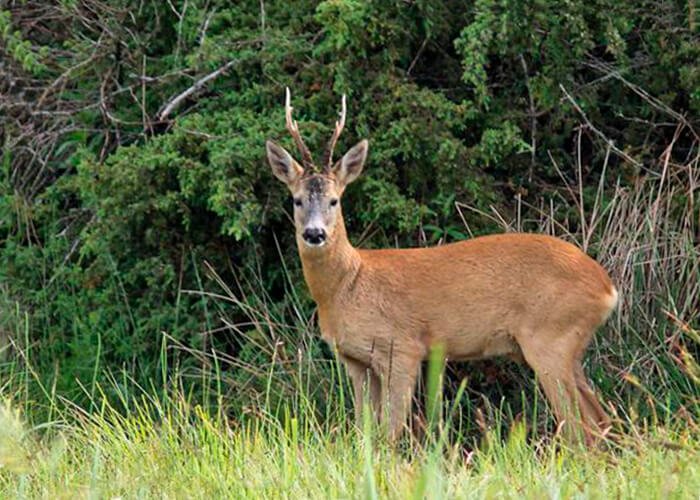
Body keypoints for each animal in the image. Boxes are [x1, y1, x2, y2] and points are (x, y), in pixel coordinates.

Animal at [265, 88, 618, 445]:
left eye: (334, 200)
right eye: (297, 200)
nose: (315, 233)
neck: (347, 284)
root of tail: (607, 287)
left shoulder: (402, 348)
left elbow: (390, 432)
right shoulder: (355, 361)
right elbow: (366, 431)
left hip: (551, 337)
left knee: (579, 426)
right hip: (568, 346)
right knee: (599, 418)